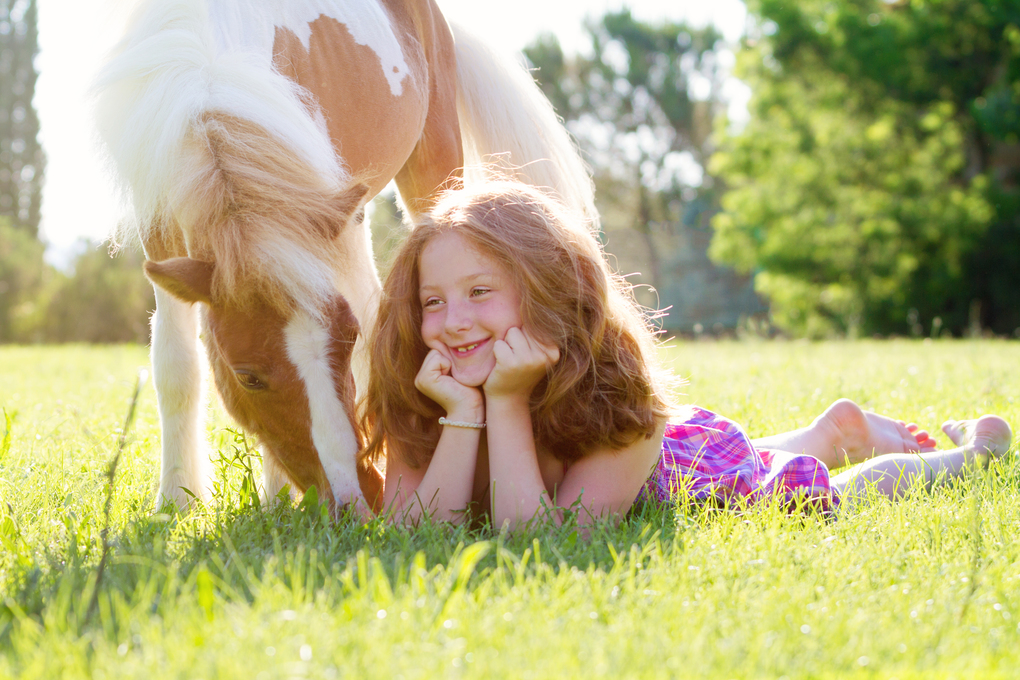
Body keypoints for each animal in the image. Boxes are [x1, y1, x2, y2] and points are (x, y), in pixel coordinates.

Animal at [93, 0, 595, 517]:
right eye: (247, 377)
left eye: (346, 338)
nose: (355, 498)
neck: (209, 66)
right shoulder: (161, 223)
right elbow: (176, 365)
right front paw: (176, 500)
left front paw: (274, 497)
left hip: (424, 168)